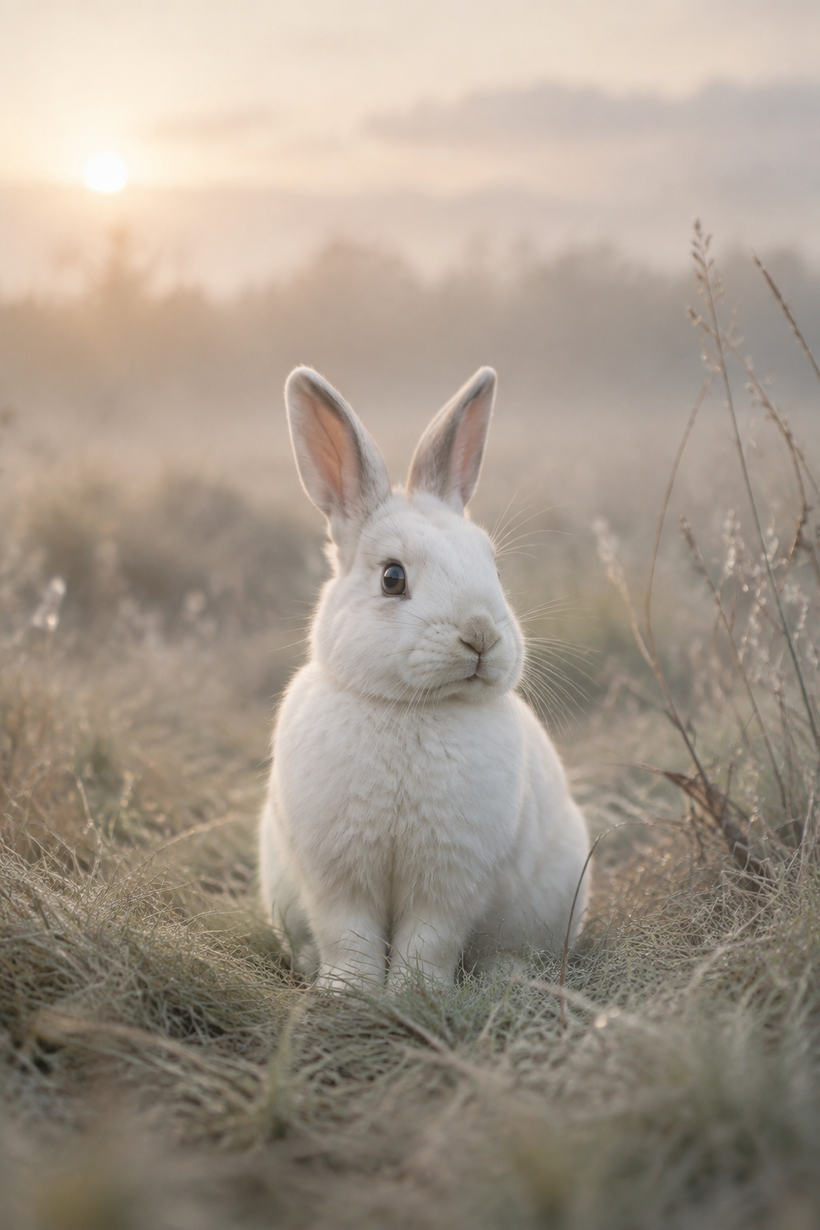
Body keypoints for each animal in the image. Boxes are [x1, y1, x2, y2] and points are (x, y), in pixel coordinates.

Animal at [259, 365, 591, 989]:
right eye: (392, 578)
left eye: (494, 568)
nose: (481, 635)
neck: (410, 707)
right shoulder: (337, 876)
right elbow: (349, 936)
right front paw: (346, 992)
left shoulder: (450, 880)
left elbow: (428, 941)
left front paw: (414, 993)